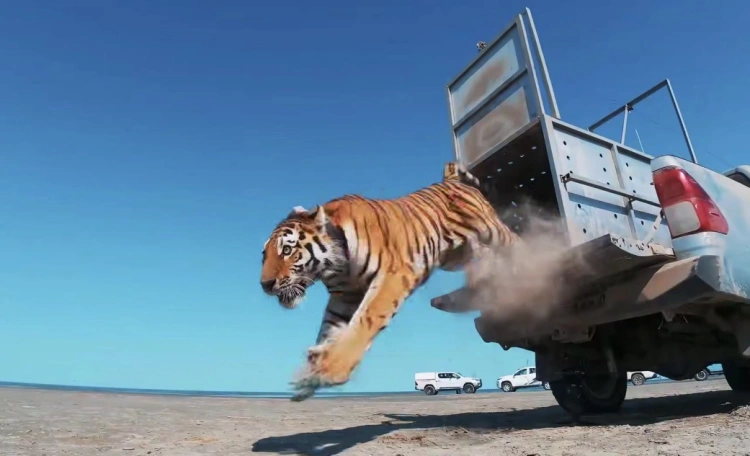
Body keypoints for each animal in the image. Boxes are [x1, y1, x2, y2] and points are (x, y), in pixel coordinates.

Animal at [260, 161, 521, 401]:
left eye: (286, 250)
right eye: (264, 254)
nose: (265, 284)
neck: (335, 268)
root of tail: (450, 180)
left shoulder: (392, 277)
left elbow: (365, 320)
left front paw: (331, 368)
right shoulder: (345, 297)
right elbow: (330, 329)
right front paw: (310, 375)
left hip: (492, 231)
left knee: (515, 242)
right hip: (456, 256)